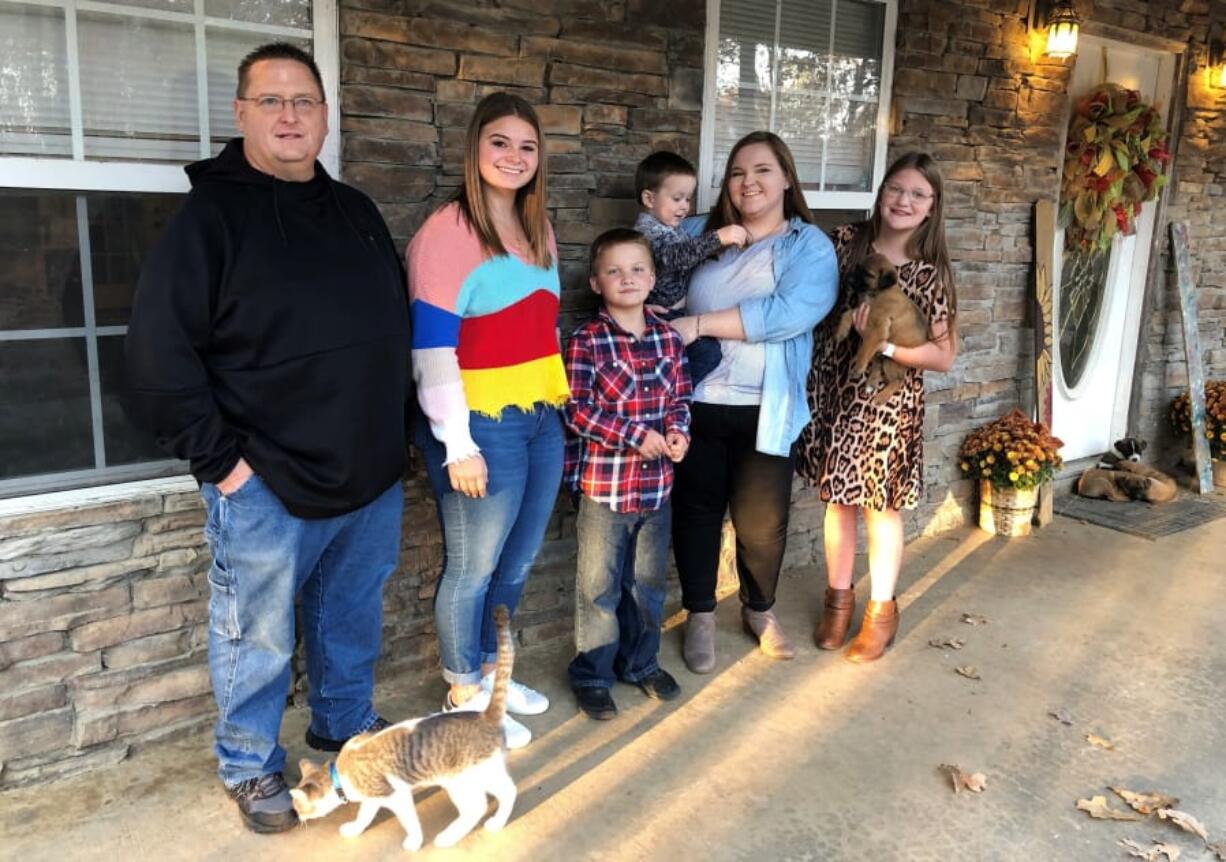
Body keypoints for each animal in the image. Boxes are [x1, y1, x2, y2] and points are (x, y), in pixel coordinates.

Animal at [833, 255, 926, 407]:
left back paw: (881, 396)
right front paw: (841, 331)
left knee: (898, 381)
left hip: (892, 362)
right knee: (877, 362)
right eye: (857, 267)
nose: (847, 279)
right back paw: (872, 383)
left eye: (868, 274)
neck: (878, 292)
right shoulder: (863, 312)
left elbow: (864, 349)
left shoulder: (877, 331)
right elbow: (848, 313)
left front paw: (858, 367)